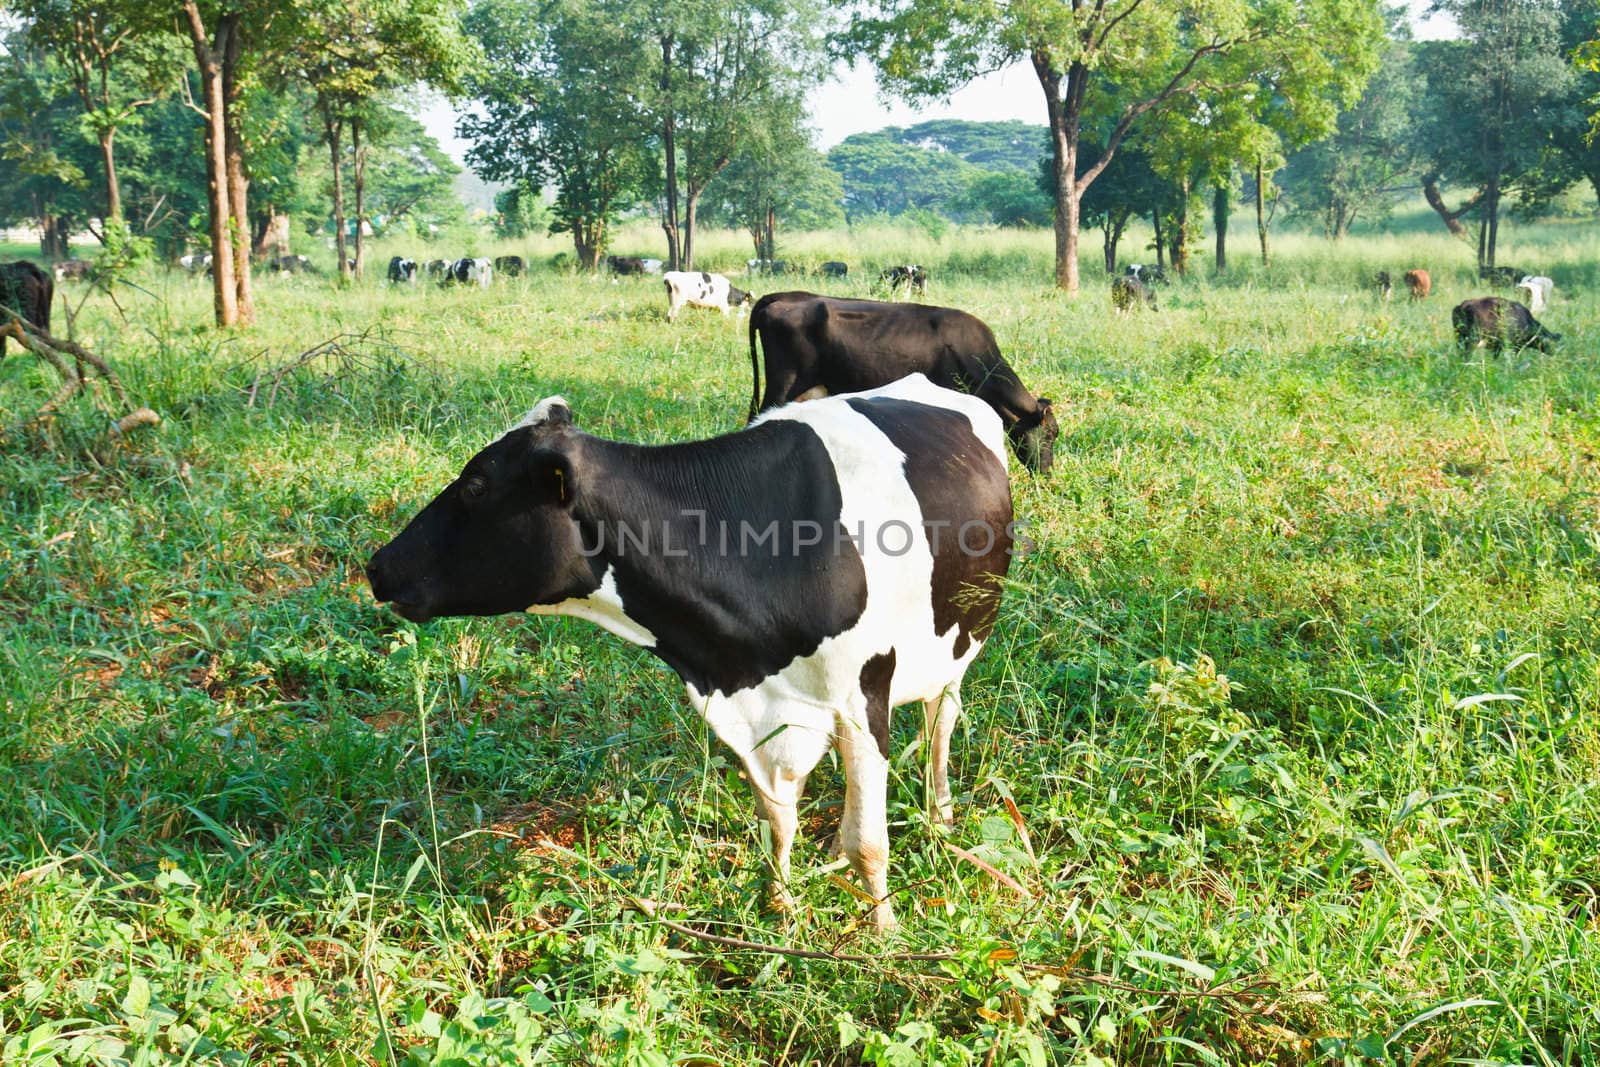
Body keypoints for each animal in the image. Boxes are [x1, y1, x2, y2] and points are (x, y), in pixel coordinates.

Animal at [369, 377, 1017, 927]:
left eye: (477, 486)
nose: (377, 566)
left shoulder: (864, 695)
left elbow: (870, 843)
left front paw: (881, 930)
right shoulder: (757, 708)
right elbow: (778, 822)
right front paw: (781, 904)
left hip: (959, 641)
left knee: (940, 721)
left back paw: (940, 814)